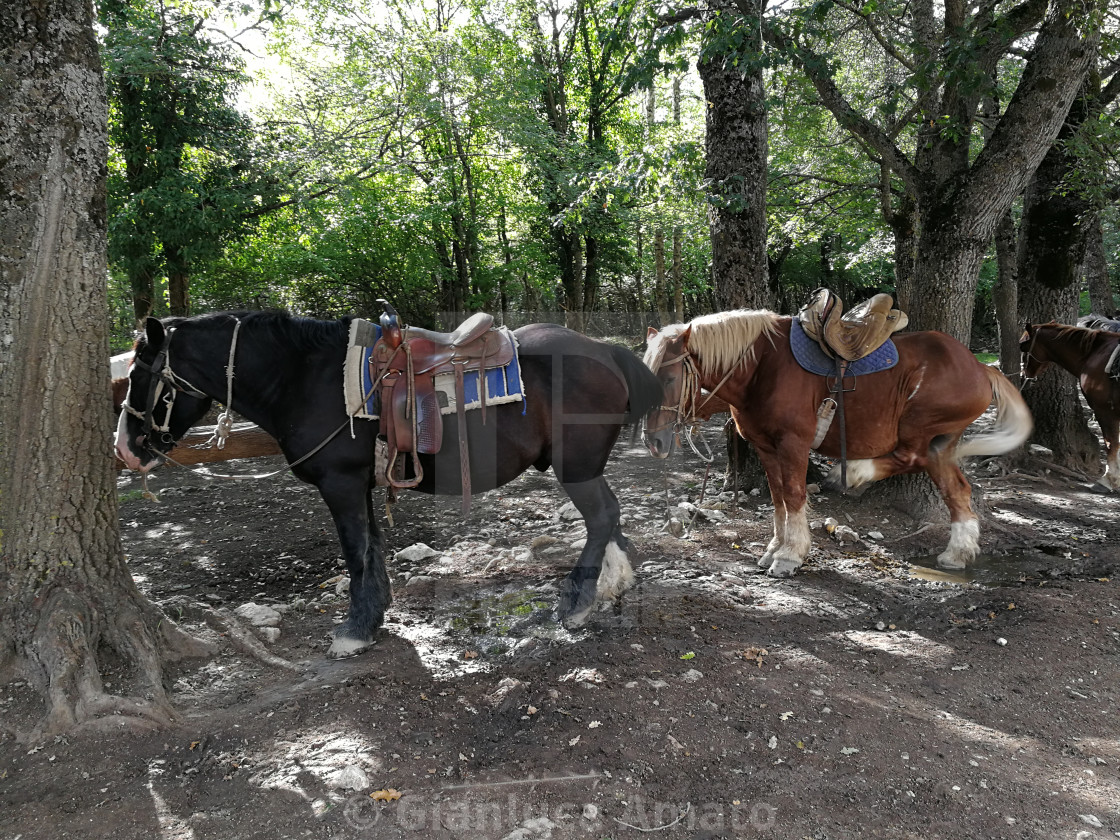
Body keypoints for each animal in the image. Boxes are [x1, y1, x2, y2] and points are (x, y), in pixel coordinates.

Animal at [115, 313, 654, 663]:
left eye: (141, 375)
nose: (125, 449)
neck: (304, 378)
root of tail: (607, 350)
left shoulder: (339, 484)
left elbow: (355, 552)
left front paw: (354, 630)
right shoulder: (360, 484)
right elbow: (372, 546)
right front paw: (375, 613)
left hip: (575, 466)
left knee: (601, 516)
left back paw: (578, 602)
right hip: (584, 466)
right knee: (610, 515)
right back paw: (613, 583)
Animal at [640, 309, 1030, 577]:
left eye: (670, 377)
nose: (654, 441)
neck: (762, 369)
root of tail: (982, 369)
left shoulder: (793, 444)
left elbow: (794, 496)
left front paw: (789, 555)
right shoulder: (766, 448)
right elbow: (778, 498)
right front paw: (774, 548)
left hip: (921, 427)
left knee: (908, 455)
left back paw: (853, 473)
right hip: (942, 445)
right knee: (957, 492)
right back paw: (957, 553)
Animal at [1025, 322, 1120, 492]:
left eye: (1023, 346)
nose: (1025, 373)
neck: (1094, 353)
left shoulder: (1105, 411)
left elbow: (1111, 444)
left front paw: (1108, 481)